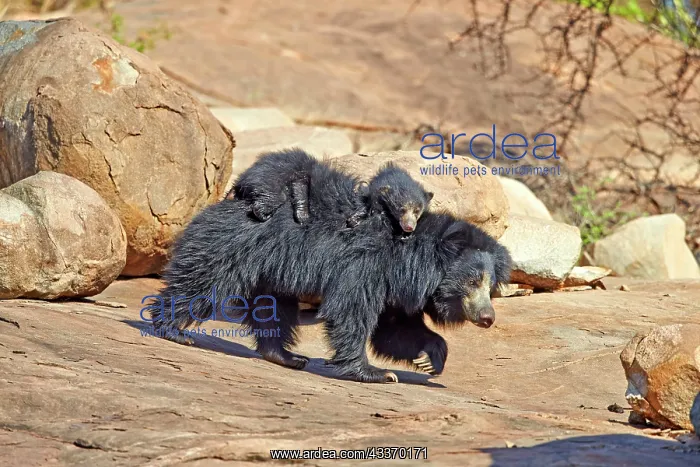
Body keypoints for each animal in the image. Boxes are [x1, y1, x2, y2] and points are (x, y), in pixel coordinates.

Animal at [147, 160, 511, 383]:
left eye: (490, 286)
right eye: (473, 281)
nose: (488, 318)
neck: (410, 258)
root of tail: (222, 203)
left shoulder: (395, 287)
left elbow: (394, 329)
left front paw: (429, 358)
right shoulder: (367, 265)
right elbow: (351, 310)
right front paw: (376, 373)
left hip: (270, 269)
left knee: (274, 308)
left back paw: (285, 355)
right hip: (229, 246)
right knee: (199, 284)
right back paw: (172, 329)